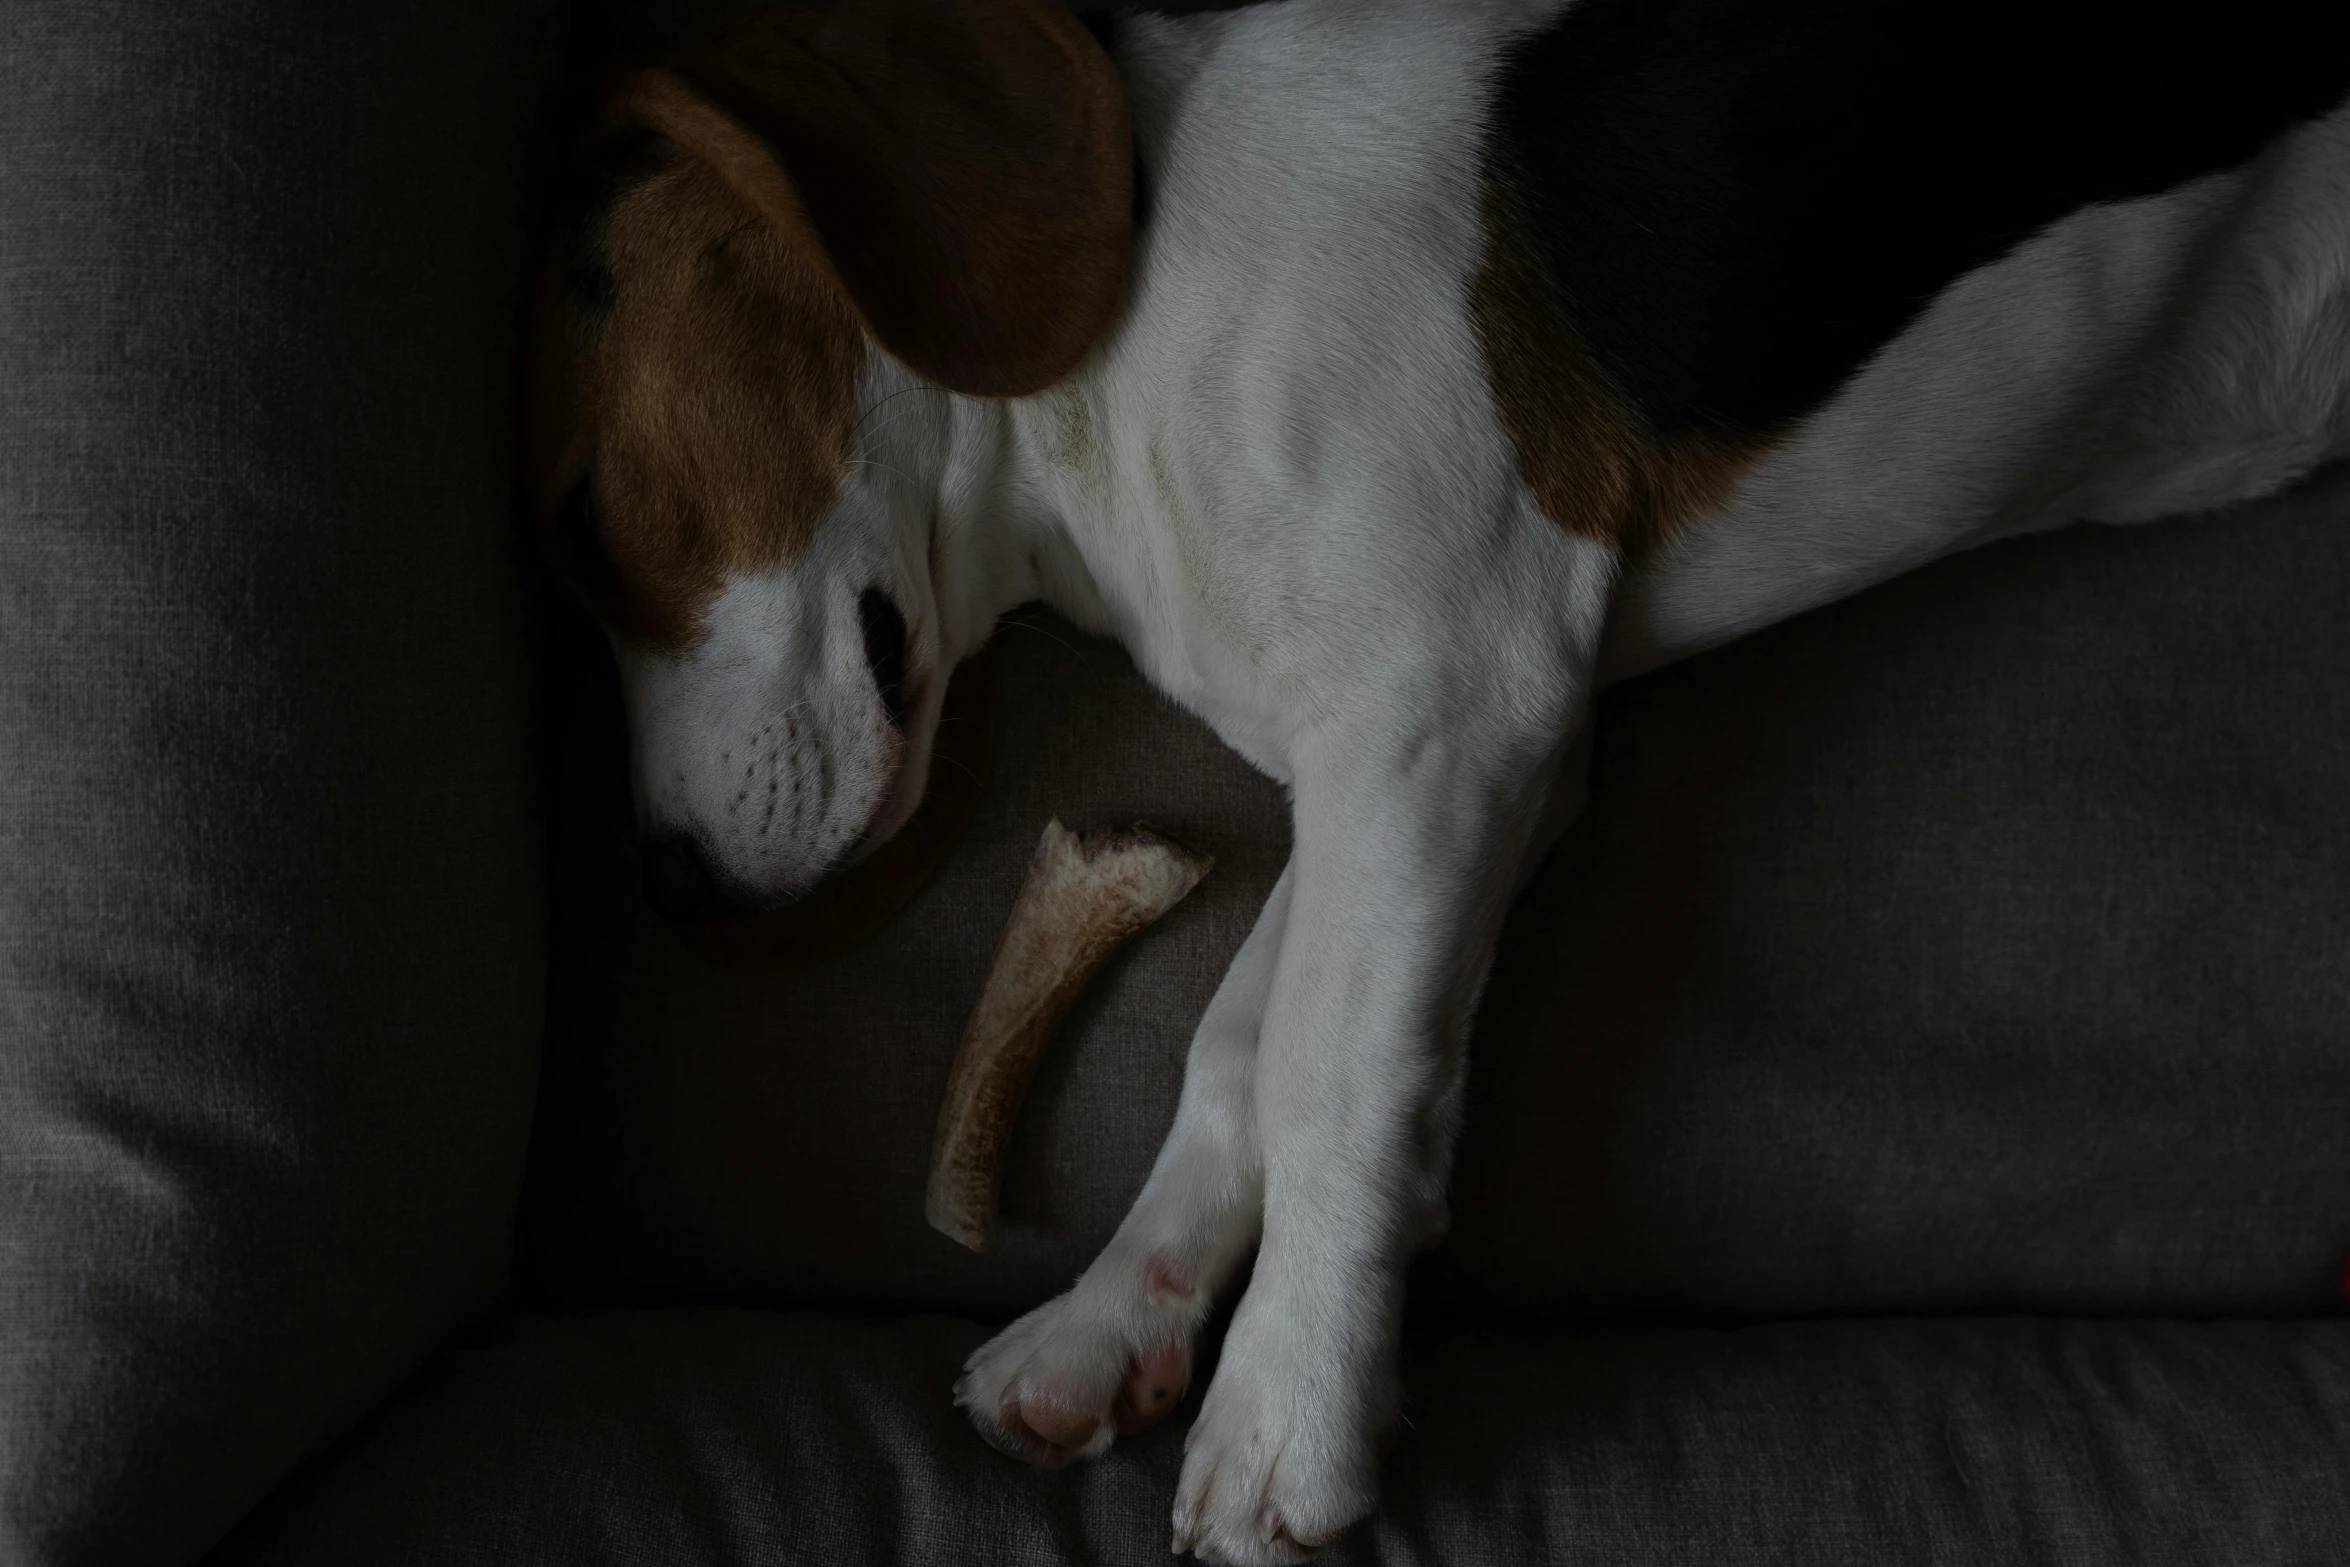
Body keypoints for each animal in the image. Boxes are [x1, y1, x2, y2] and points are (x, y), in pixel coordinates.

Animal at [533, 6, 2350, 1559]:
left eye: (586, 524)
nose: (673, 889)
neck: (1116, 365)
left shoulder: (1436, 710)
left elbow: (1326, 1075)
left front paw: (1290, 1404)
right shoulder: (1452, 764)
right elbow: (1242, 1044)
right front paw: (1123, 1312)